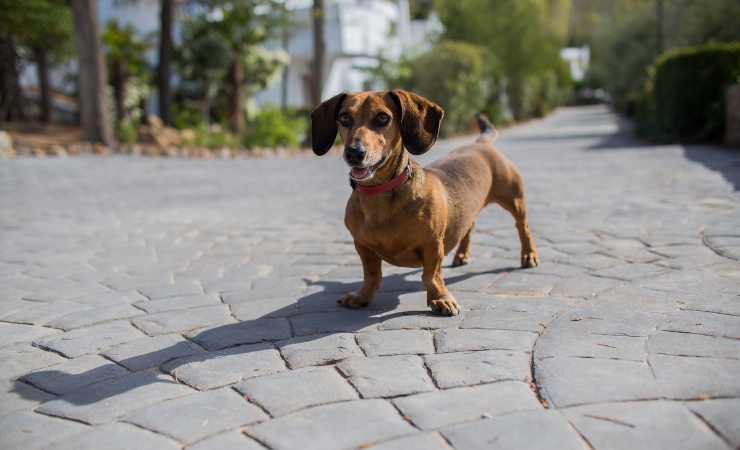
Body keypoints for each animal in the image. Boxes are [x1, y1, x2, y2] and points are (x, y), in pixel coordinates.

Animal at [310, 90, 539, 316]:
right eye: (344, 118)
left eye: (383, 118)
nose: (354, 153)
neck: (380, 195)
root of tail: (480, 144)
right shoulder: (362, 246)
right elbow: (371, 274)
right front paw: (362, 296)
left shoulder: (433, 244)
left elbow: (432, 275)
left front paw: (440, 298)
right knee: (469, 226)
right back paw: (462, 254)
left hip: (514, 199)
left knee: (522, 226)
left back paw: (529, 255)